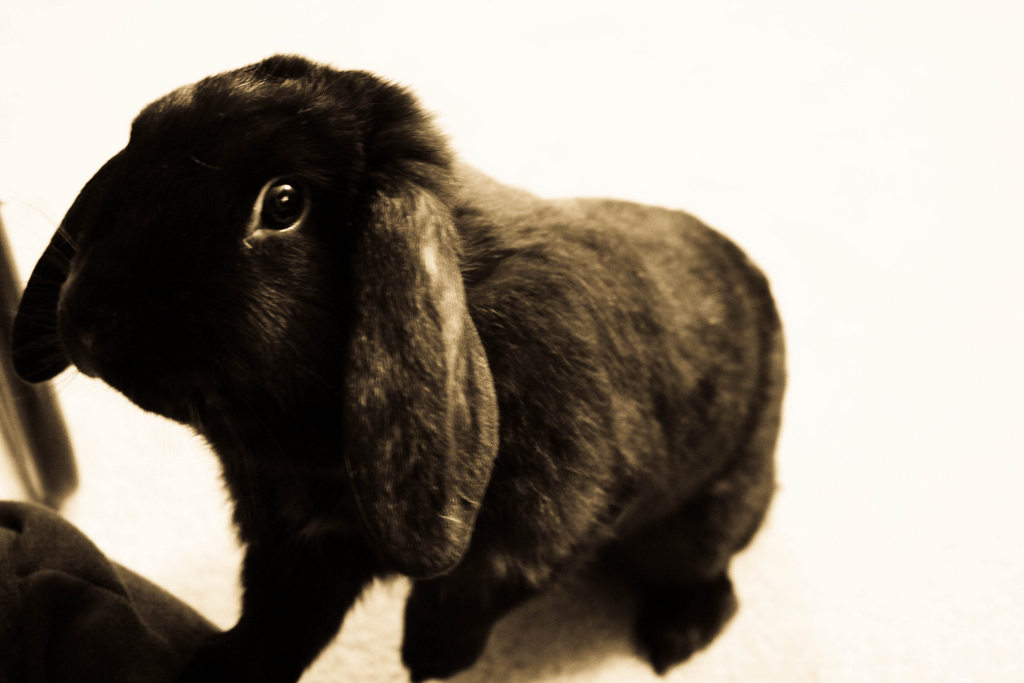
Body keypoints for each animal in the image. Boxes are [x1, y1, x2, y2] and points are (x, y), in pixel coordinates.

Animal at [11, 54, 785, 683]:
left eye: (283, 203)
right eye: (139, 142)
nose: (84, 316)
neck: (309, 448)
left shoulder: (549, 522)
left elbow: (472, 590)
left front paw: (429, 658)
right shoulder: (294, 550)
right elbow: (276, 626)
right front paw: (212, 668)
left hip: (697, 525)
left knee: (714, 578)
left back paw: (675, 636)